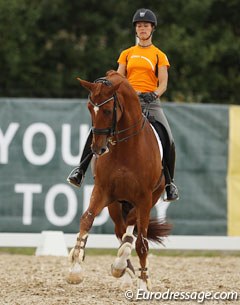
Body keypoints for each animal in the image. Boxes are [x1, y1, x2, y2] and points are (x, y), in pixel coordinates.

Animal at [66, 69, 172, 290]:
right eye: (90, 108)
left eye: (107, 111)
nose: (98, 149)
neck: (126, 148)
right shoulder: (103, 191)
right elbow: (86, 219)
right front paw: (75, 269)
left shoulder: (144, 198)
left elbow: (141, 243)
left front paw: (143, 283)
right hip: (116, 204)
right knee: (121, 229)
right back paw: (122, 267)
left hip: (150, 198)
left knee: (132, 230)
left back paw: (126, 265)